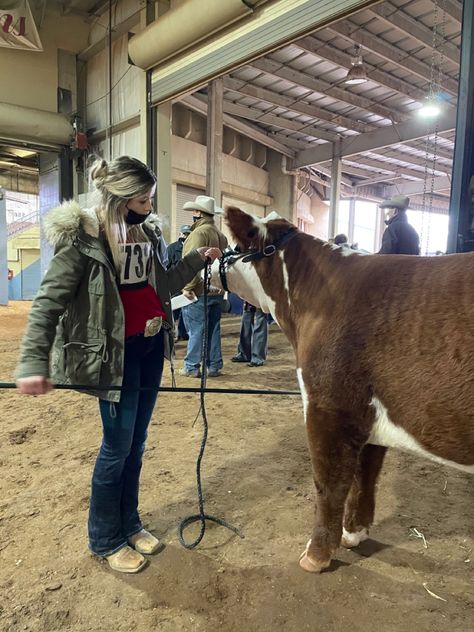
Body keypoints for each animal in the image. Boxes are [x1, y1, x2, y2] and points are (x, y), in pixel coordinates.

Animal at [215, 206, 474, 572]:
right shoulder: (371, 414)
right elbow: (365, 475)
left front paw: (315, 556)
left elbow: (330, 481)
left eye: (233, 245)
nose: (207, 256)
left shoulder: (328, 404)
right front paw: (355, 533)